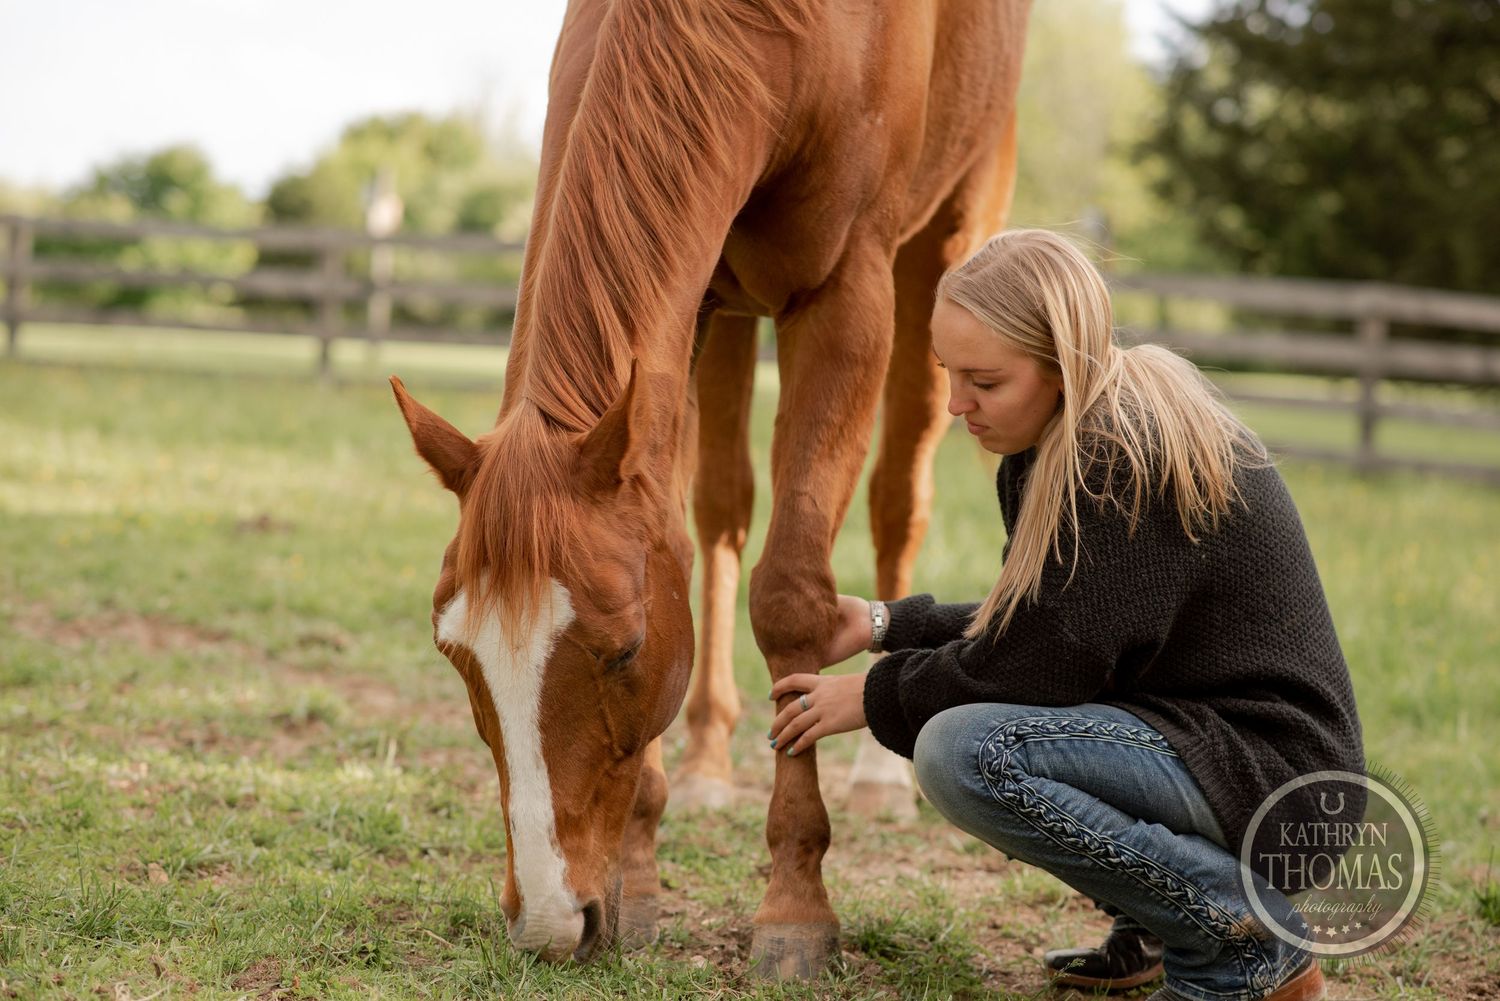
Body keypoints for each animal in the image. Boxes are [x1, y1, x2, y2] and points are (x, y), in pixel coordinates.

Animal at [391, 0, 1031, 978]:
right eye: (456, 655)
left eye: (621, 652)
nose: (549, 922)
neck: (784, 36)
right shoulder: (686, 313)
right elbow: (689, 552)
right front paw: (642, 877)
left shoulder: (847, 295)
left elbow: (792, 597)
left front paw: (796, 905)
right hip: (727, 314)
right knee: (723, 516)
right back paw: (704, 761)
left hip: (943, 258)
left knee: (896, 502)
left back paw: (880, 778)